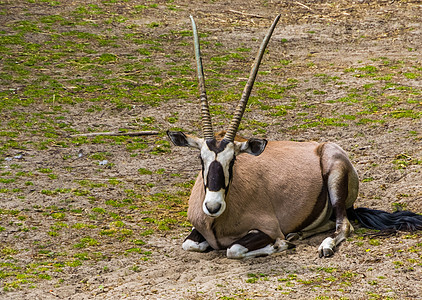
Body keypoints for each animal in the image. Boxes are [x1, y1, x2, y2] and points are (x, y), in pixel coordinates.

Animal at [167, 15, 422, 258]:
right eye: (201, 159)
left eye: (234, 160)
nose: (213, 206)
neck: (216, 222)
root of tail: (324, 146)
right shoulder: (197, 231)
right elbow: (190, 244)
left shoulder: (267, 229)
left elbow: (234, 249)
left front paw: (281, 245)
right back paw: (297, 234)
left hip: (336, 182)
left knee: (344, 225)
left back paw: (322, 245)